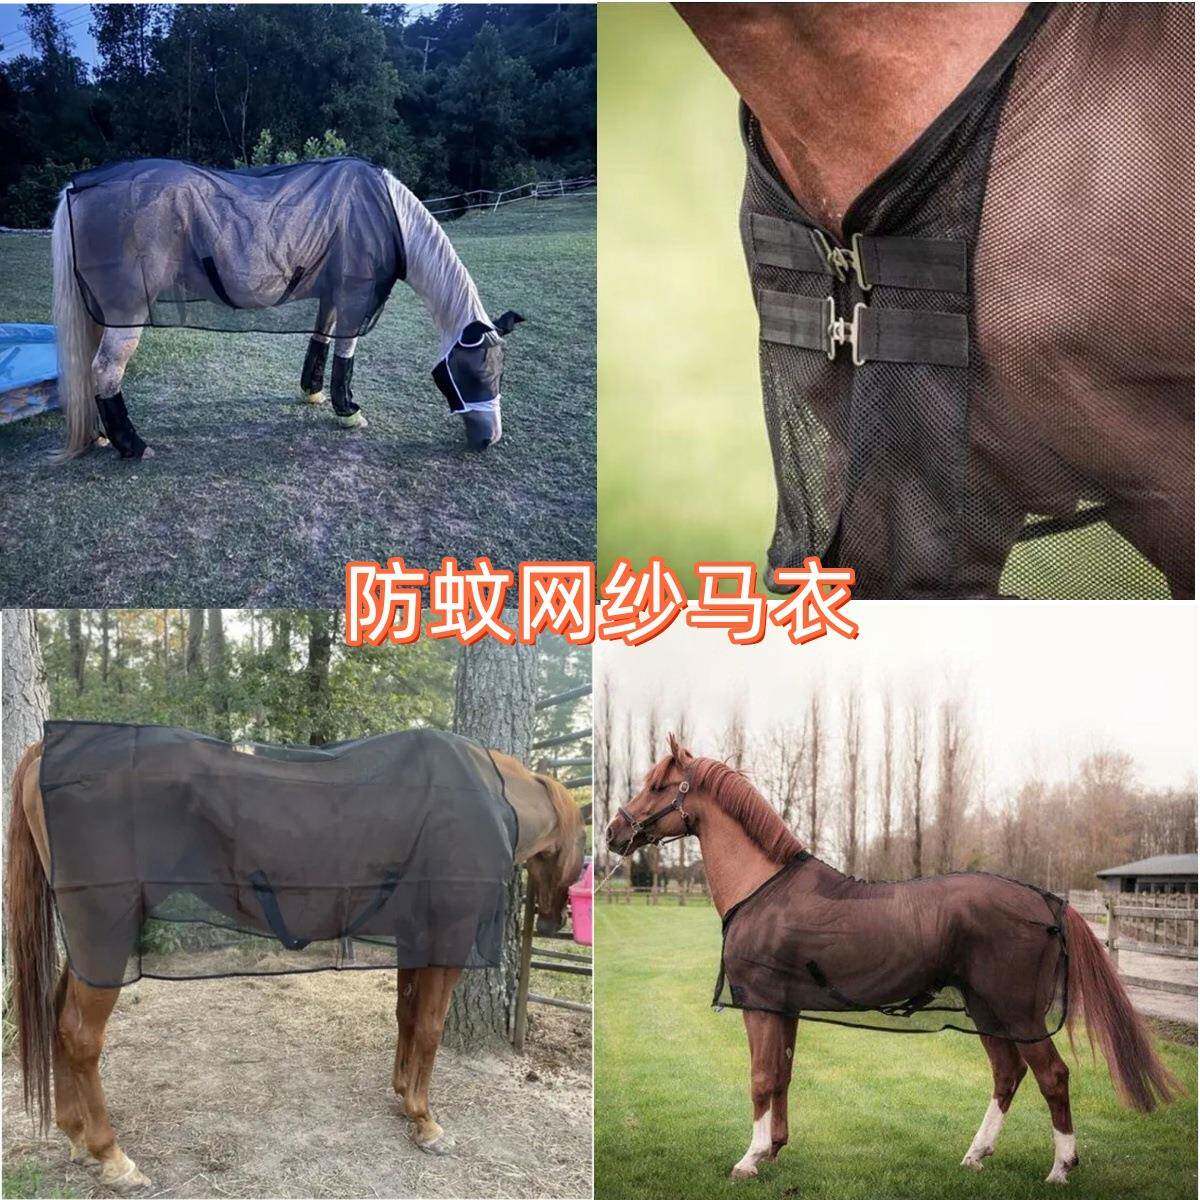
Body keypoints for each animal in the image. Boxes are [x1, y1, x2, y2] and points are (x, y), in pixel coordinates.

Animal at [5, 733, 584, 1192]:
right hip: (105, 927)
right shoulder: (446, 937)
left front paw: (401, 1097)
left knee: (57, 1015)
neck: (489, 799)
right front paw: (425, 1122)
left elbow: (406, 1018)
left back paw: (75, 1136)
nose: (553, 922)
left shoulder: (414, 935)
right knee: (80, 1034)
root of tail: (49, 750)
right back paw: (112, 1156)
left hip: (88, 940)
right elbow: (430, 1029)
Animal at [51, 156, 524, 460]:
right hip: (126, 313)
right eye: (477, 372)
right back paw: (133, 446)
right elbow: (346, 352)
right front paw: (348, 412)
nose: (489, 440)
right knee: (105, 370)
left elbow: (321, 341)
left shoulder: (331, 295)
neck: (388, 215)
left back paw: (102, 437)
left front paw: (312, 393)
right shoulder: (355, 297)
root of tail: (78, 187)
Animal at [605, 736, 1179, 1185]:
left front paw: (749, 1159)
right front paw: (774, 1150)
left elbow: (762, 1078)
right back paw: (976, 1156)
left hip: (1017, 1012)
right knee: (1007, 1074)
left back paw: (1060, 1168)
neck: (763, 889)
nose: (614, 832)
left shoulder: (761, 1006)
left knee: (1053, 1076)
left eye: (658, 785)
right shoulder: (785, 1009)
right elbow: (783, 1075)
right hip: (986, 1010)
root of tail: (1046, 900)